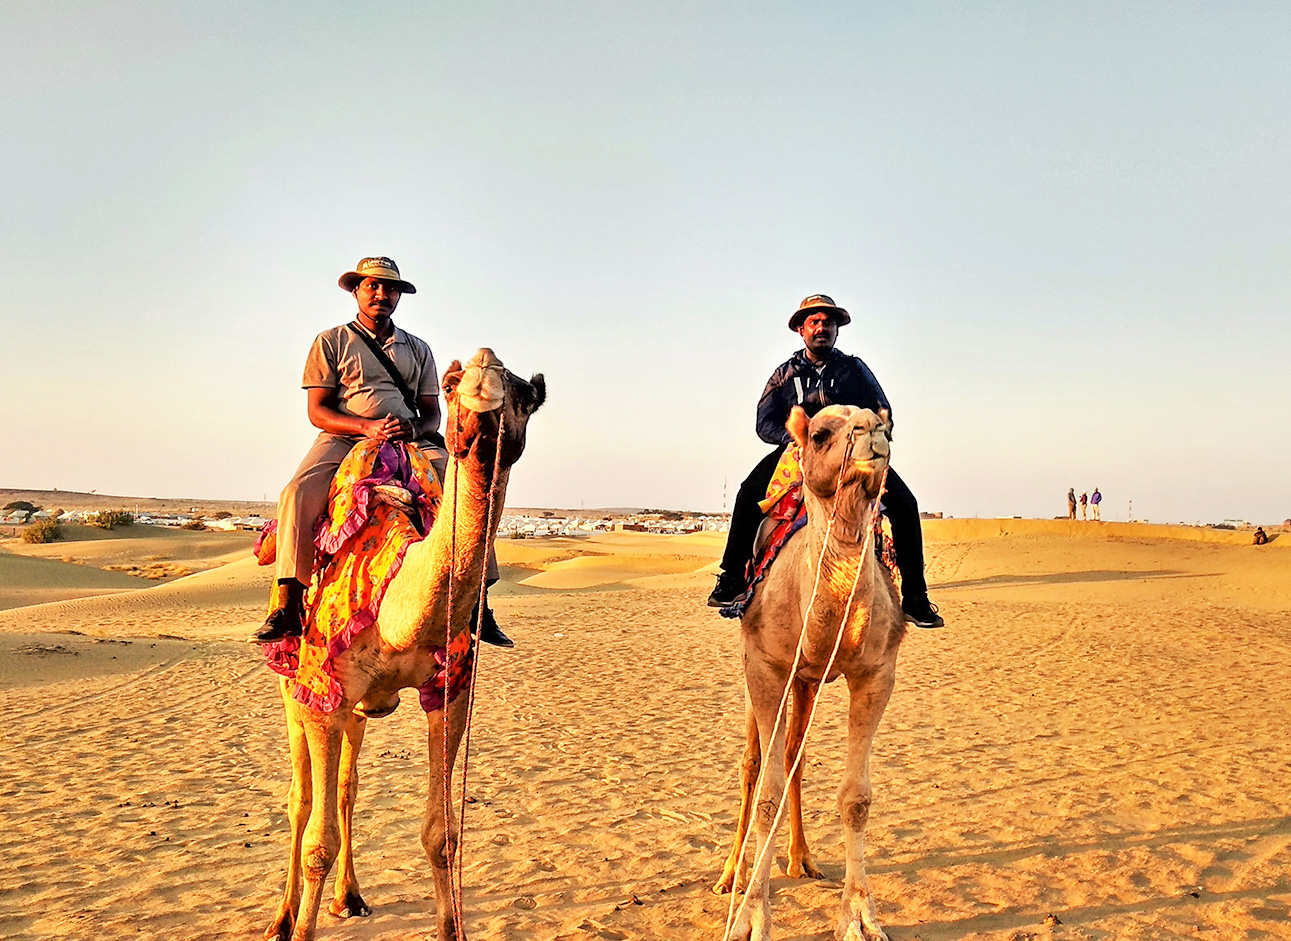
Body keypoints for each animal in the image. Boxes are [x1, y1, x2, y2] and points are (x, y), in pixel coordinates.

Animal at [262, 351, 544, 939]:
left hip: (358, 710)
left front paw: (452, 928)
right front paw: (299, 927)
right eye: (452, 385)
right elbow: (316, 843)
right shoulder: (323, 693)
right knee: (302, 799)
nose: (483, 380)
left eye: (526, 395)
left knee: (346, 788)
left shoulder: (451, 691)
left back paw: (350, 897)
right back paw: (282, 918)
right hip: (291, 685)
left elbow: (442, 835)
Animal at [717, 402, 908, 939]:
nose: (873, 434)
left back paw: (801, 860)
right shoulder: (766, 666)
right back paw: (731, 875)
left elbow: (856, 798)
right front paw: (752, 918)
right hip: (758, 667)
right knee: (753, 762)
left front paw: (861, 917)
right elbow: (766, 793)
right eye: (821, 434)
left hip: (806, 682)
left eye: (887, 427)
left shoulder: (877, 673)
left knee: (794, 758)